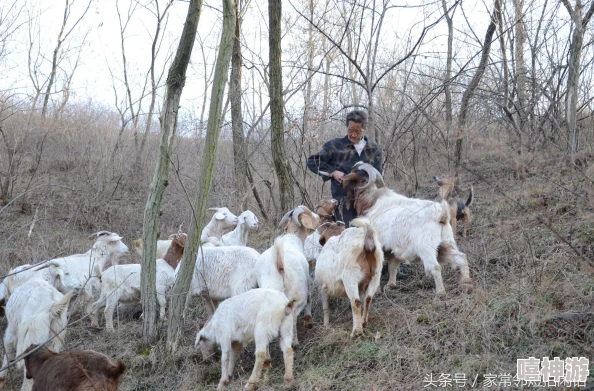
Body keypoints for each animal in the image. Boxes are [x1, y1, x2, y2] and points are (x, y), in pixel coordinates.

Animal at [340, 163, 470, 298]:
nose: (341, 182)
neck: (372, 201)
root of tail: (442, 215)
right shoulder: (391, 247)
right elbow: (393, 265)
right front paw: (391, 285)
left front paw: (377, 291)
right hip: (444, 245)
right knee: (461, 257)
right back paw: (466, 285)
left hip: (426, 249)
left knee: (436, 267)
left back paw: (441, 293)